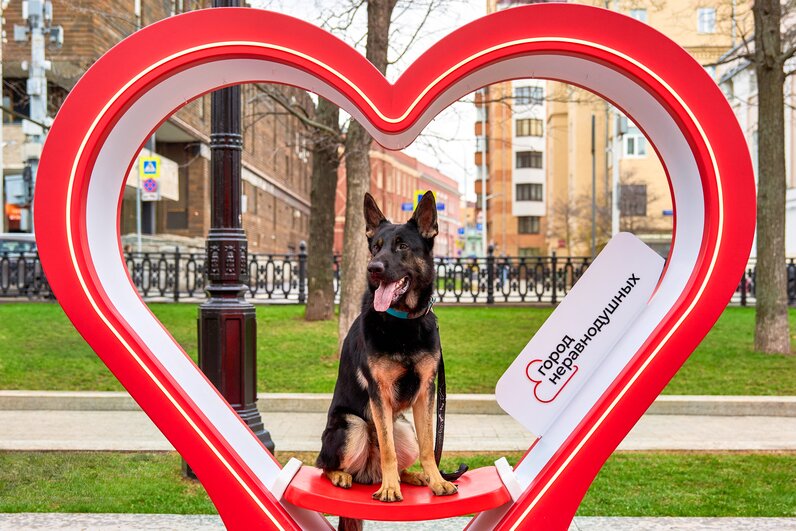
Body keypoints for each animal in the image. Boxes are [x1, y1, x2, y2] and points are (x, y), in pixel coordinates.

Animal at [316, 191, 458, 531]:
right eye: (375, 247)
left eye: (402, 246)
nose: (373, 268)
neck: (403, 322)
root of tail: (369, 472)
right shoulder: (378, 393)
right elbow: (389, 450)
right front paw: (391, 490)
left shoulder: (426, 392)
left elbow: (428, 446)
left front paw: (436, 480)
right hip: (352, 425)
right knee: (324, 464)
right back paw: (345, 476)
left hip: (402, 425)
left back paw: (414, 477)